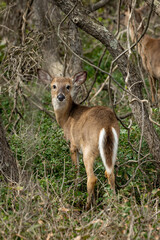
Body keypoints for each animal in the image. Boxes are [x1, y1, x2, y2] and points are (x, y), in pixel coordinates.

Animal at [37, 69, 120, 210]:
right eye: (54, 86)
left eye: (68, 86)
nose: (60, 97)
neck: (66, 118)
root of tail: (107, 125)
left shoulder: (73, 145)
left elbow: (76, 169)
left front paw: (75, 188)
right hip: (113, 146)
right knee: (110, 172)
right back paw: (112, 203)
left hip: (88, 148)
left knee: (92, 178)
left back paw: (87, 207)